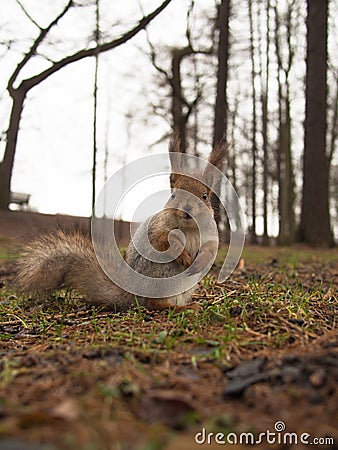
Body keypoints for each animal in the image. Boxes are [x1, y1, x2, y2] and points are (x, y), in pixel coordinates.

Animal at [15, 138, 227, 312]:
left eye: (204, 196)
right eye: (173, 195)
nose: (187, 209)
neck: (189, 227)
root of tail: (133, 295)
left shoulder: (211, 234)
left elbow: (212, 247)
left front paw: (202, 261)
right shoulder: (158, 227)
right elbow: (162, 240)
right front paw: (182, 255)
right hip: (165, 276)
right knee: (153, 304)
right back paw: (181, 308)